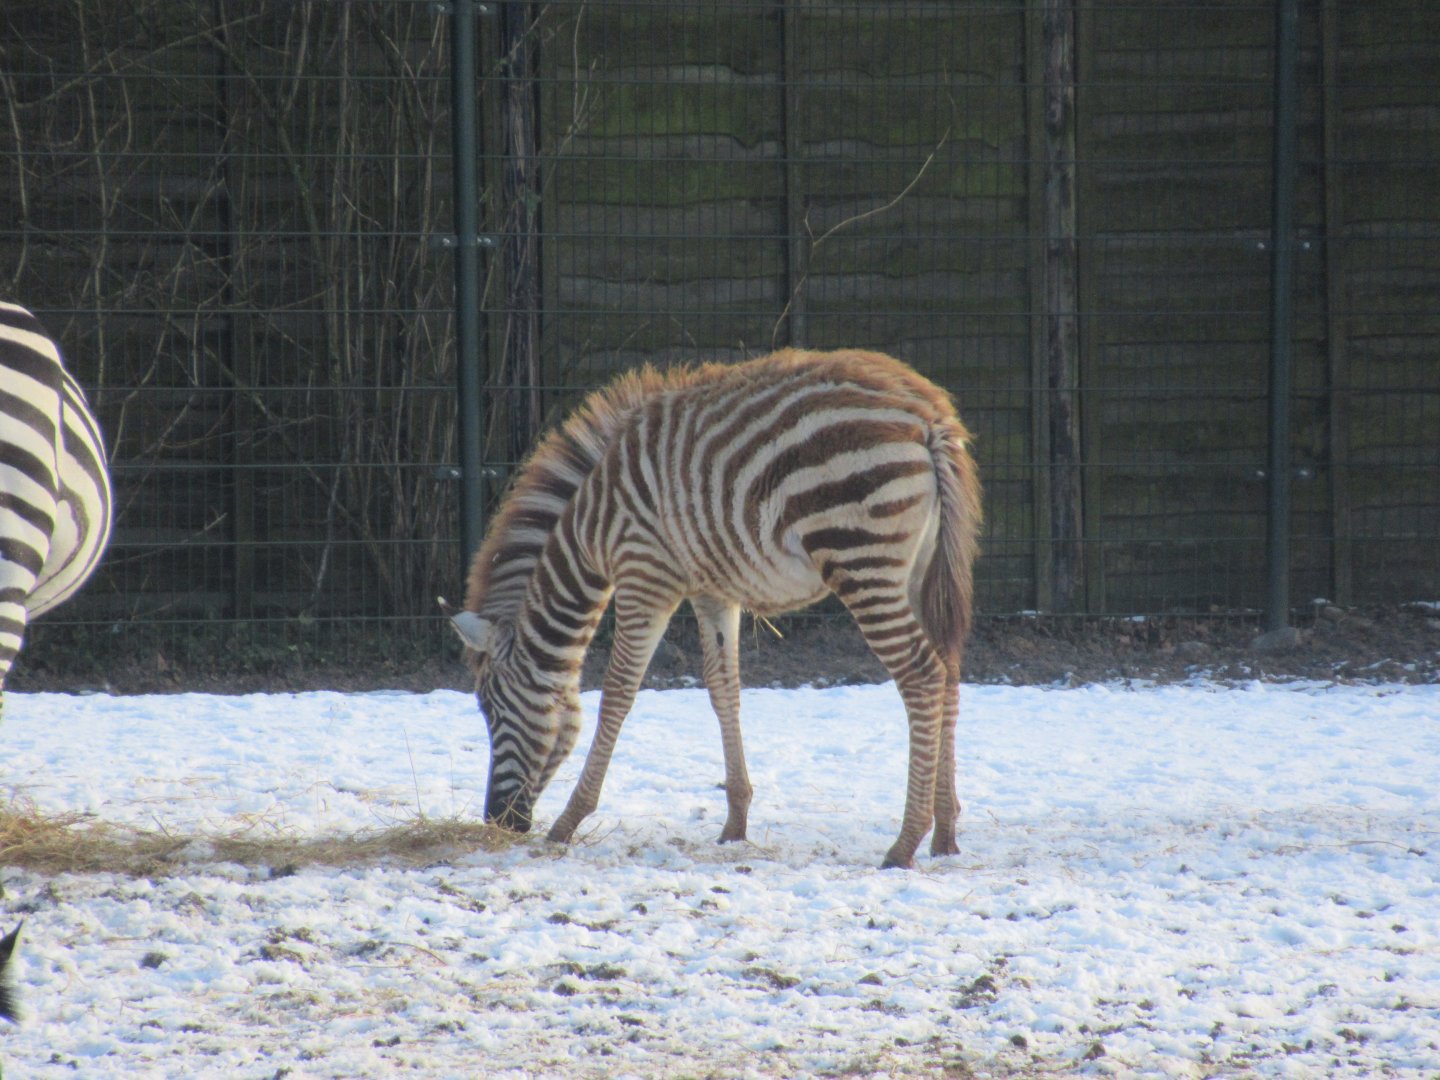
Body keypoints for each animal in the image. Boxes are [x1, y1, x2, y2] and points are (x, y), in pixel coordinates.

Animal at [445, 348, 981, 869]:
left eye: (490, 709)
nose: (498, 821)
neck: (589, 527)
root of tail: (927, 411)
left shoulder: (646, 575)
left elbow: (618, 691)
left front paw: (569, 820)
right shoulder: (711, 589)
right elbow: (723, 688)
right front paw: (736, 822)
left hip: (861, 556)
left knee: (921, 675)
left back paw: (905, 842)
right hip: (918, 567)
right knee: (949, 672)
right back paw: (945, 831)